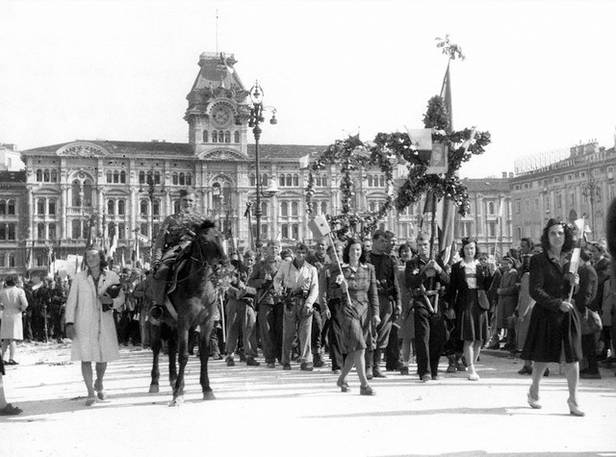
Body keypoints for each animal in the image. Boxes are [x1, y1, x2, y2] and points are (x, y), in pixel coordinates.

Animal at [147, 221, 227, 406]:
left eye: (221, 236)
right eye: (204, 240)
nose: (224, 262)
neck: (199, 287)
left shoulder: (206, 323)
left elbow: (203, 354)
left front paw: (207, 389)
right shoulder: (184, 321)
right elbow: (183, 356)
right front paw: (177, 394)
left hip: (173, 324)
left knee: (171, 347)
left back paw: (174, 380)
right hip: (158, 322)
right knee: (157, 348)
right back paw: (155, 382)